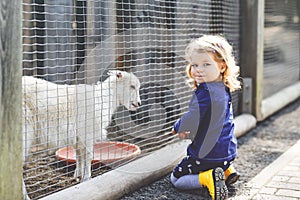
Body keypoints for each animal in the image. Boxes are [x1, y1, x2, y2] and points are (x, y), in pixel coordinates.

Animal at [22, 70, 142, 198]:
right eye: (132, 86)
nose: (139, 103)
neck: (103, 99)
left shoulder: (78, 137)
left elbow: (79, 155)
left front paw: (78, 174)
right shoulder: (87, 133)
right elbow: (88, 156)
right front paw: (86, 178)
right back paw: (25, 196)